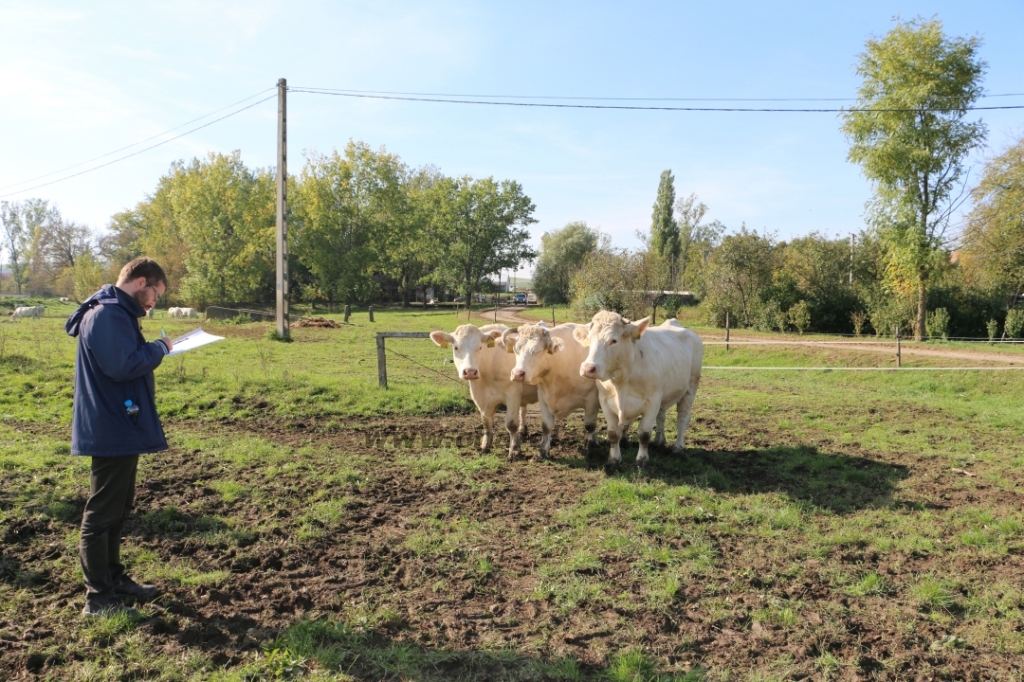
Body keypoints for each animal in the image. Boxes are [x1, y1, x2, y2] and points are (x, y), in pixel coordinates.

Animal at [428, 323, 540, 456]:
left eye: (480, 347)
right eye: (456, 347)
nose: (470, 371)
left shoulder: (513, 393)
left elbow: (511, 424)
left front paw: (514, 450)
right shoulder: (480, 396)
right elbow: (486, 422)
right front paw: (485, 446)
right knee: (523, 410)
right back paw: (523, 431)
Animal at [501, 323, 598, 458]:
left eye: (536, 350)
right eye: (516, 349)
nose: (517, 374)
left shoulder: (592, 399)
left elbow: (590, 425)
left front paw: (592, 450)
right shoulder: (543, 397)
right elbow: (546, 426)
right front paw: (542, 451)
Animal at [577, 311, 704, 466]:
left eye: (614, 340)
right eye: (589, 339)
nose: (588, 368)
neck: (621, 382)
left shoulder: (652, 401)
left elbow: (644, 433)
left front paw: (642, 460)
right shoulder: (605, 400)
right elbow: (613, 433)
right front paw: (614, 460)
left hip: (690, 388)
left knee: (682, 419)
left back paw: (678, 448)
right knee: (661, 416)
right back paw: (658, 442)